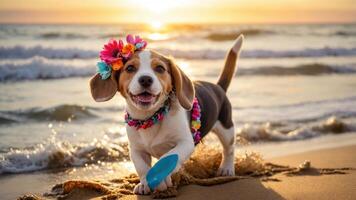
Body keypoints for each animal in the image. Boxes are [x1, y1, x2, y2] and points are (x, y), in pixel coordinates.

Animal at [90, 35, 243, 195]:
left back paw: (226, 168)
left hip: (226, 128)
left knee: (229, 149)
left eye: (160, 68)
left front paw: (161, 179)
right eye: (130, 68)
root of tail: (218, 87)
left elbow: (168, 157)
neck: (149, 117)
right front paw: (145, 183)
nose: (145, 79)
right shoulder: (136, 149)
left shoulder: (185, 142)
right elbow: (142, 167)